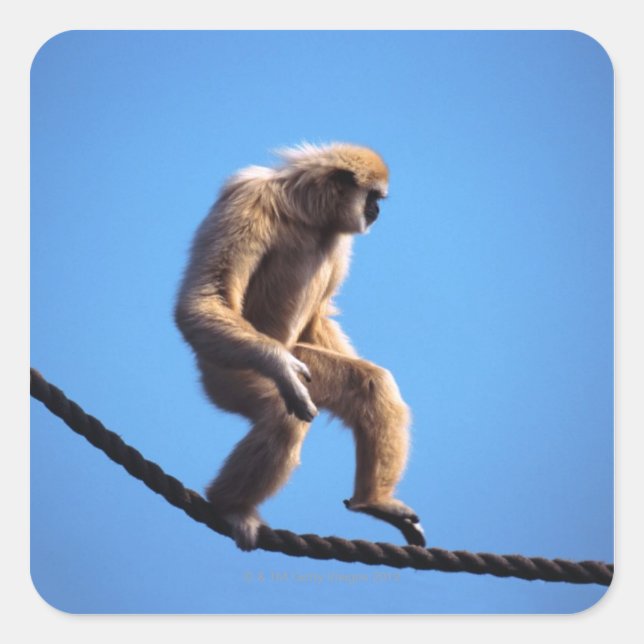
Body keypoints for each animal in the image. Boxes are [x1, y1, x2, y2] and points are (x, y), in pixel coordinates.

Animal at [174, 143, 425, 551]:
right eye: (372, 197)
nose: (376, 211)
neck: (305, 212)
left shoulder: (339, 238)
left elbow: (318, 318)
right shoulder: (247, 197)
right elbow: (203, 299)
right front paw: (280, 366)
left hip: (294, 359)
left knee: (372, 385)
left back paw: (373, 501)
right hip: (226, 367)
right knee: (283, 415)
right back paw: (230, 507)